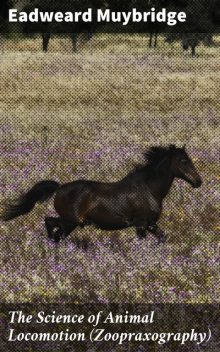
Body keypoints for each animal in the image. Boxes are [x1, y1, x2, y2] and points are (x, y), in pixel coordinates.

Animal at [0, 144, 202, 243]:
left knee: (56, 230)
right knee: (50, 223)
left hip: (71, 223)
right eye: (184, 161)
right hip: (71, 221)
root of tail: (59, 188)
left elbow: (163, 238)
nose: (198, 182)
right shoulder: (141, 224)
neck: (149, 189)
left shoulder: (151, 224)